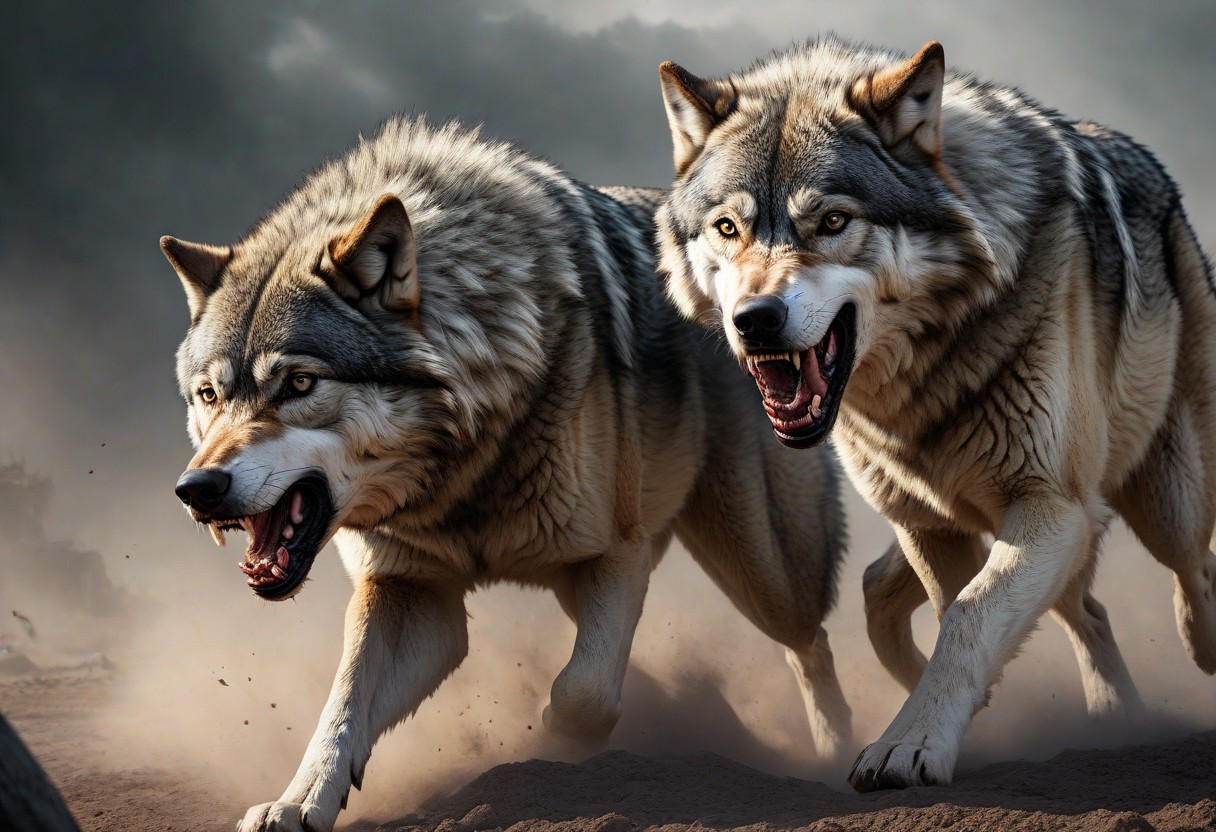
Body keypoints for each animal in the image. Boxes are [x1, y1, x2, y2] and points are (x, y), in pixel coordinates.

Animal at [163, 117, 854, 832]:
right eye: (210, 394)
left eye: (299, 384)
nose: (197, 491)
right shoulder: (409, 591)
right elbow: (340, 711)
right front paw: (296, 803)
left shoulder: (616, 554)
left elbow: (584, 693)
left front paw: (560, 739)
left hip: (762, 568)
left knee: (811, 644)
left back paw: (835, 758)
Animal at [655, 37, 1216, 791]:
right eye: (727, 228)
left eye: (833, 221)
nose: (756, 320)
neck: (923, 384)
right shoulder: (932, 523)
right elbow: (960, 613)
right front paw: (932, 723)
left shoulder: (1050, 502)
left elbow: (970, 617)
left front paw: (910, 744)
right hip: (994, 517)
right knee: (1064, 608)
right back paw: (1114, 719)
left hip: (1160, 498)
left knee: (1192, 569)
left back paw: (1194, 654)